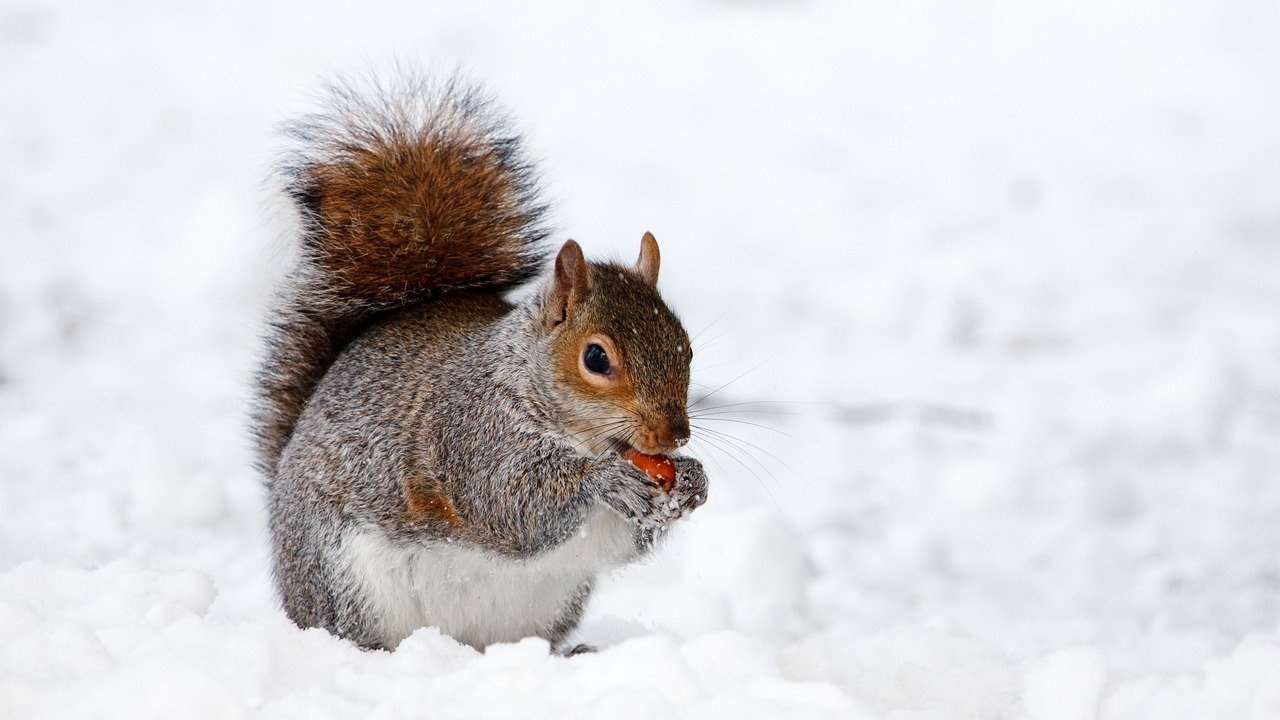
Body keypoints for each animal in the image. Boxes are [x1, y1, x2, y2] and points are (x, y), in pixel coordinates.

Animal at [249, 73, 711, 650]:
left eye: (687, 347)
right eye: (596, 357)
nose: (675, 436)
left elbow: (625, 538)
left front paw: (692, 482)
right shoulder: (470, 431)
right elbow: (510, 502)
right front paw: (605, 480)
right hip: (343, 579)